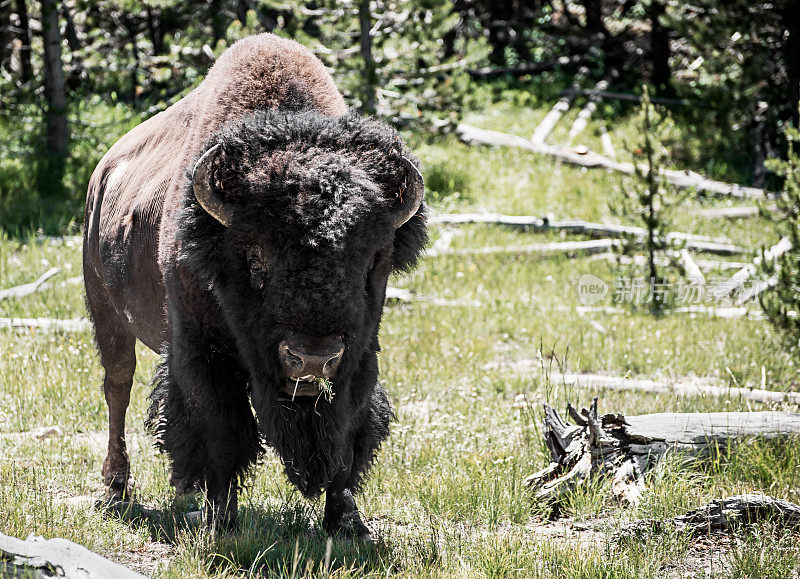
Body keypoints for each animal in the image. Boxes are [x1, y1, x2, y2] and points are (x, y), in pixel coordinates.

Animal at [83, 32, 428, 540]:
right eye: (257, 256)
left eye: (372, 260)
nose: (312, 358)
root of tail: (101, 175)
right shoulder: (201, 352)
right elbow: (223, 433)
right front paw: (221, 522)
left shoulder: (361, 356)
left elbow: (347, 434)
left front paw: (348, 524)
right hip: (106, 315)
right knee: (117, 387)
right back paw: (114, 488)